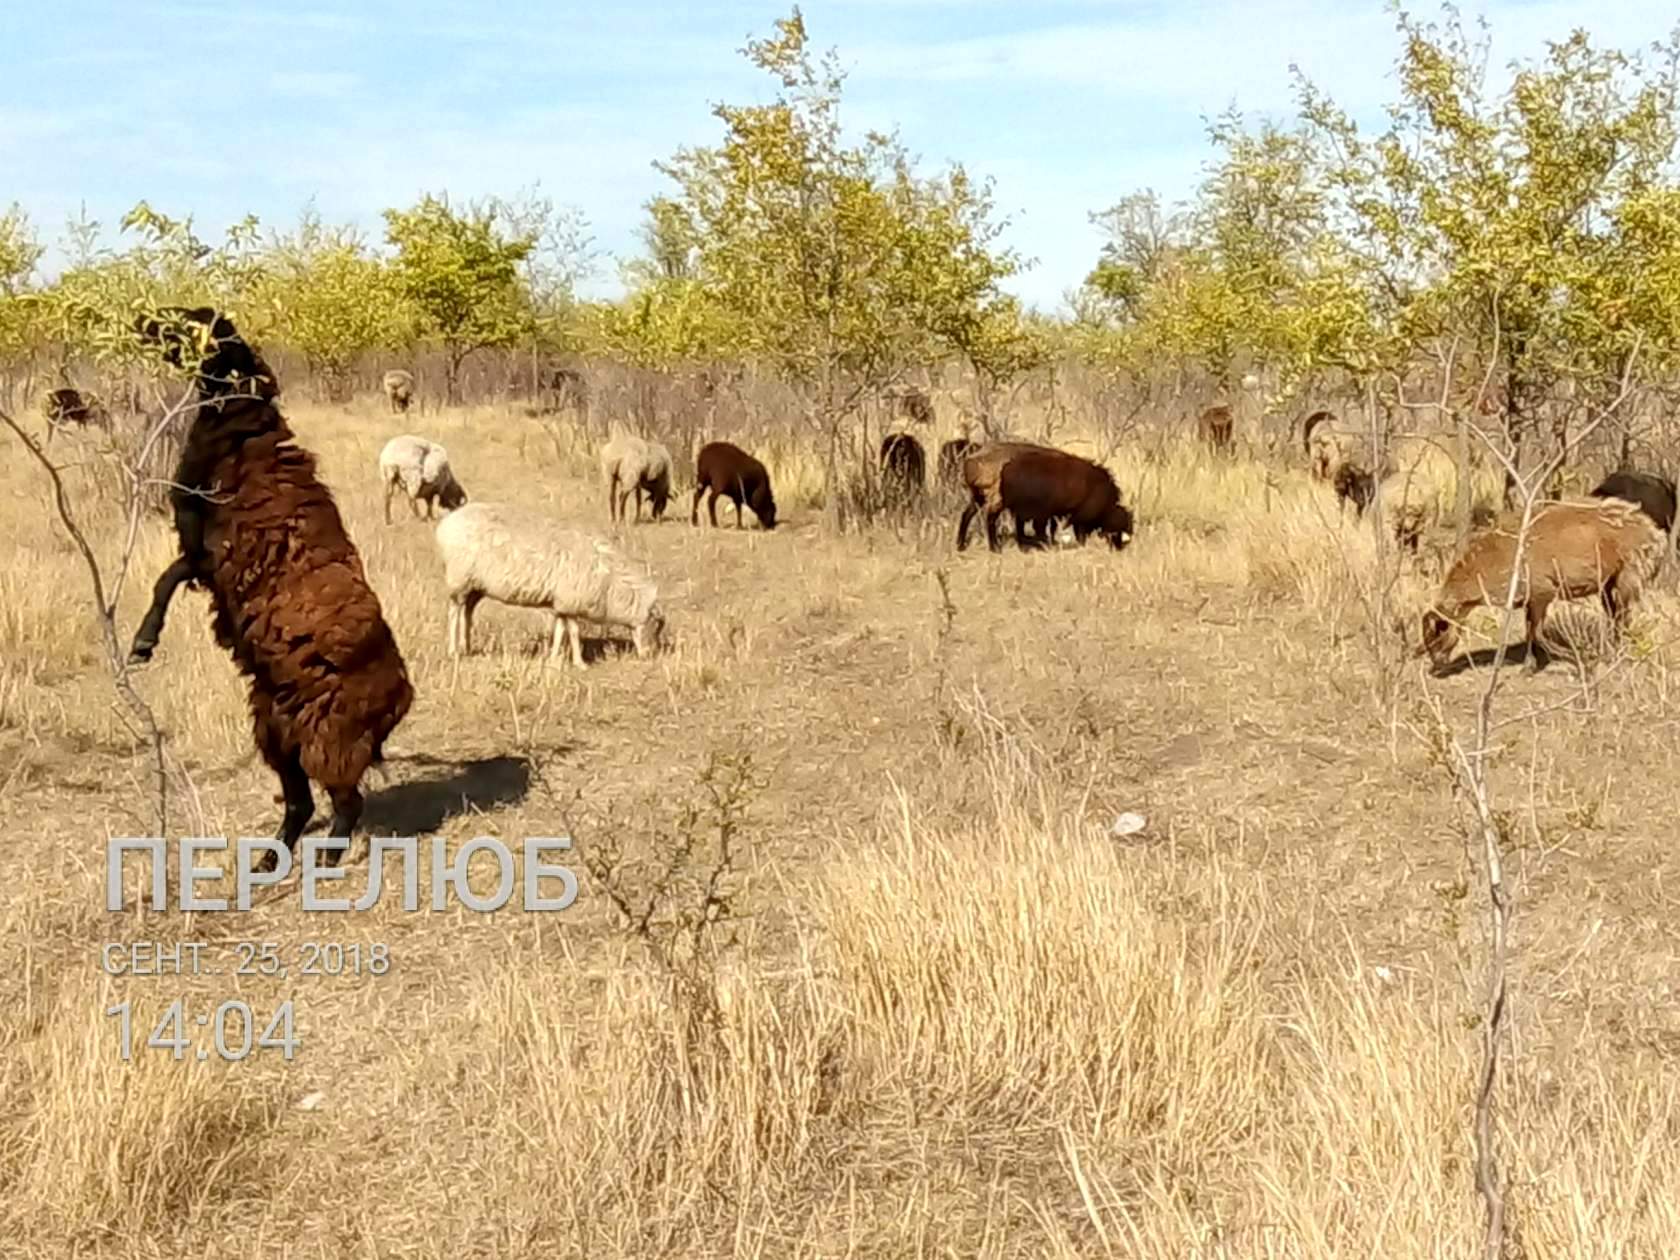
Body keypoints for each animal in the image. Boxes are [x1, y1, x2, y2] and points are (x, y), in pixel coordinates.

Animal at [125, 310, 413, 873]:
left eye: (194, 321)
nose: (143, 319)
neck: (238, 427)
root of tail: (401, 699)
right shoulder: (206, 555)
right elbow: (169, 575)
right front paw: (144, 641)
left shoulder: (212, 550)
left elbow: (165, 578)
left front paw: (144, 641)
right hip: (277, 729)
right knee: (301, 803)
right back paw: (267, 861)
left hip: (328, 737)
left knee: (347, 801)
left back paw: (325, 858)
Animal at [436, 500, 665, 672]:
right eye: (655, 626)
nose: (649, 655)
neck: (610, 583)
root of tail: (446, 524)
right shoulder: (572, 601)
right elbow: (573, 632)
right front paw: (580, 663)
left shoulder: (562, 603)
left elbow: (560, 631)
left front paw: (554, 659)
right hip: (459, 577)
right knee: (454, 613)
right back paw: (453, 651)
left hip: (475, 586)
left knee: (467, 612)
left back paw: (466, 647)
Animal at [1417, 500, 1666, 682]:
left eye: (1437, 636)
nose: (1436, 666)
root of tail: (1655, 534)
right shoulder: (1528, 599)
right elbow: (1529, 632)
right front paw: (1528, 668)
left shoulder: (1542, 591)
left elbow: (1537, 633)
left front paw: (1575, 659)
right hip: (1607, 583)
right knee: (1615, 617)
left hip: (1629, 574)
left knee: (1623, 617)